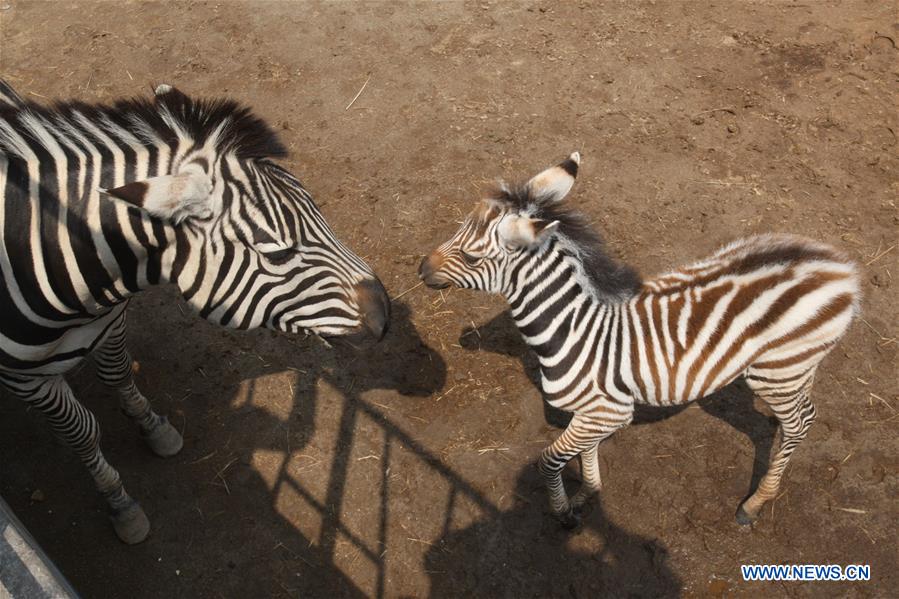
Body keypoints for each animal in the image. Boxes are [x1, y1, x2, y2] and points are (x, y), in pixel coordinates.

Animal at [0, 80, 390, 543]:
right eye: (277, 253)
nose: (385, 316)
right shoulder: (25, 379)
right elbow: (83, 434)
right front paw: (120, 504)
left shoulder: (109, 322)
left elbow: (119, 374)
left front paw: (153, 426)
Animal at [419, 152, 860, 528]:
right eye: (458, 229)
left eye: (473, 258)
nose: (422, 268)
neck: (574, 325)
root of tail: (840, 269)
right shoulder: (591, 411)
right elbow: (584, 453)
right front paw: (588, 493)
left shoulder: (610, 411)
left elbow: (549, 460)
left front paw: (563, 512)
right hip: (796, 368)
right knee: (803, 418)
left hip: (776, 371)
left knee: (799, 423)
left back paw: (755, 503)